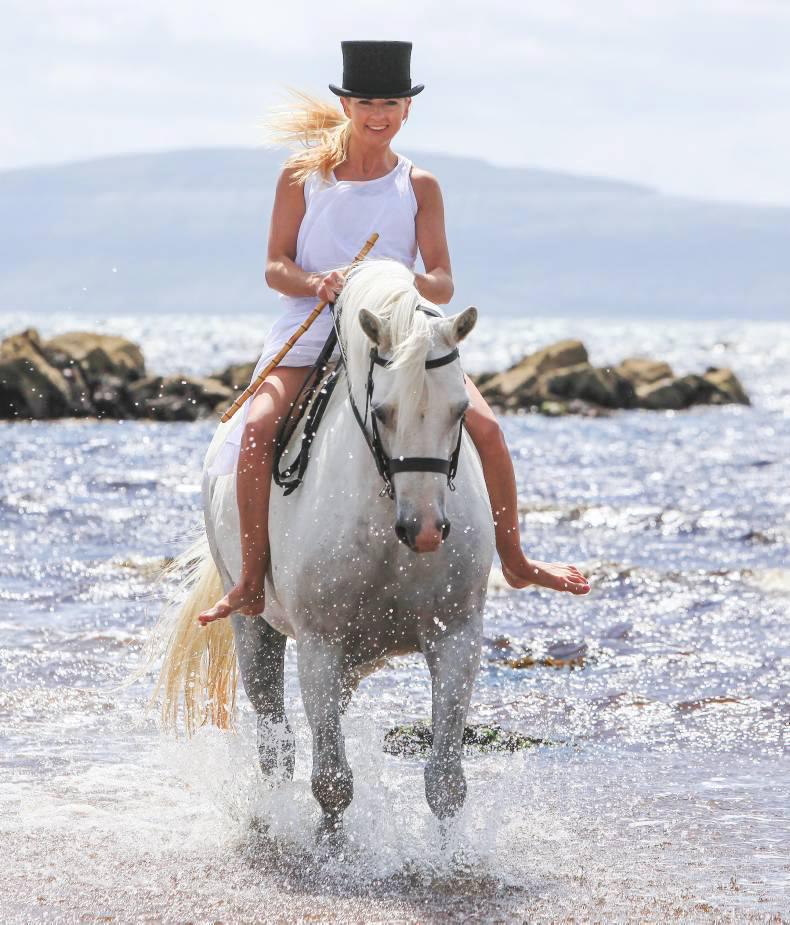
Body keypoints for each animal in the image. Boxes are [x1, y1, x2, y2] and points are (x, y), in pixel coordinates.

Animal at [150, 258, 495, 839]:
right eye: (384, 411)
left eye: (460, 409)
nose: (425, 531)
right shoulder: (320, 645)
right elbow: (331, 779)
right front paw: (330, 850)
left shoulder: (456, 638)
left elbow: (446, 782)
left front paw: (453, 854)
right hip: (255, 627)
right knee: (276, 743)